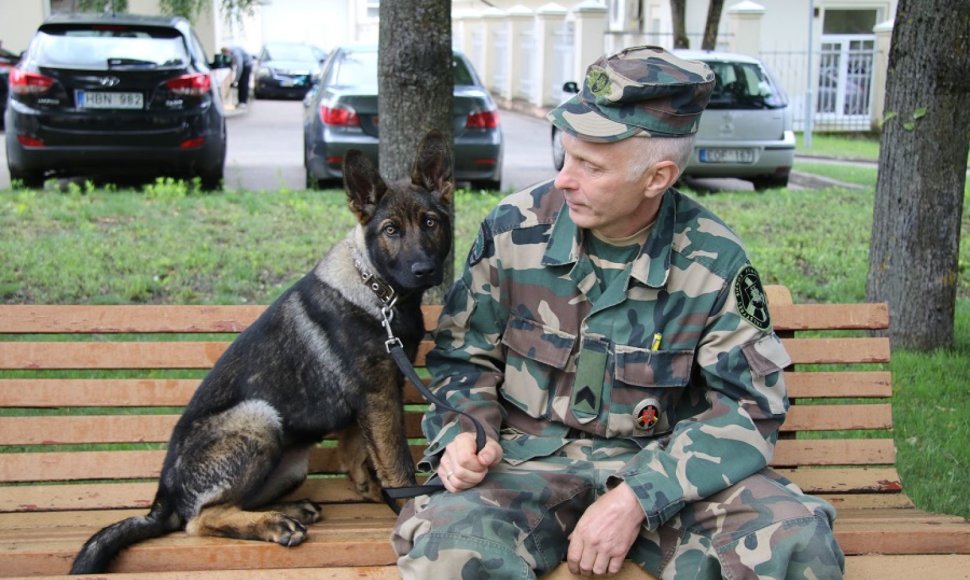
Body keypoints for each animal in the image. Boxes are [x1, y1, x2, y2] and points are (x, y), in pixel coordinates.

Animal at [68, 133, 454, 576]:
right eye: (391, 230)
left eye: (430, 222)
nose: (424, 270)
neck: (377, 288)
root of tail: (163, 498)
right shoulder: (377, 394)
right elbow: (395, 460)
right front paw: (408, 504)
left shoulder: (368, 401)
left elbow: (361, 456)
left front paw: (375, 493)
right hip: (260, 417)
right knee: (200, 519)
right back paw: (275, 523)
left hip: (291, 464)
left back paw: (289, 510)